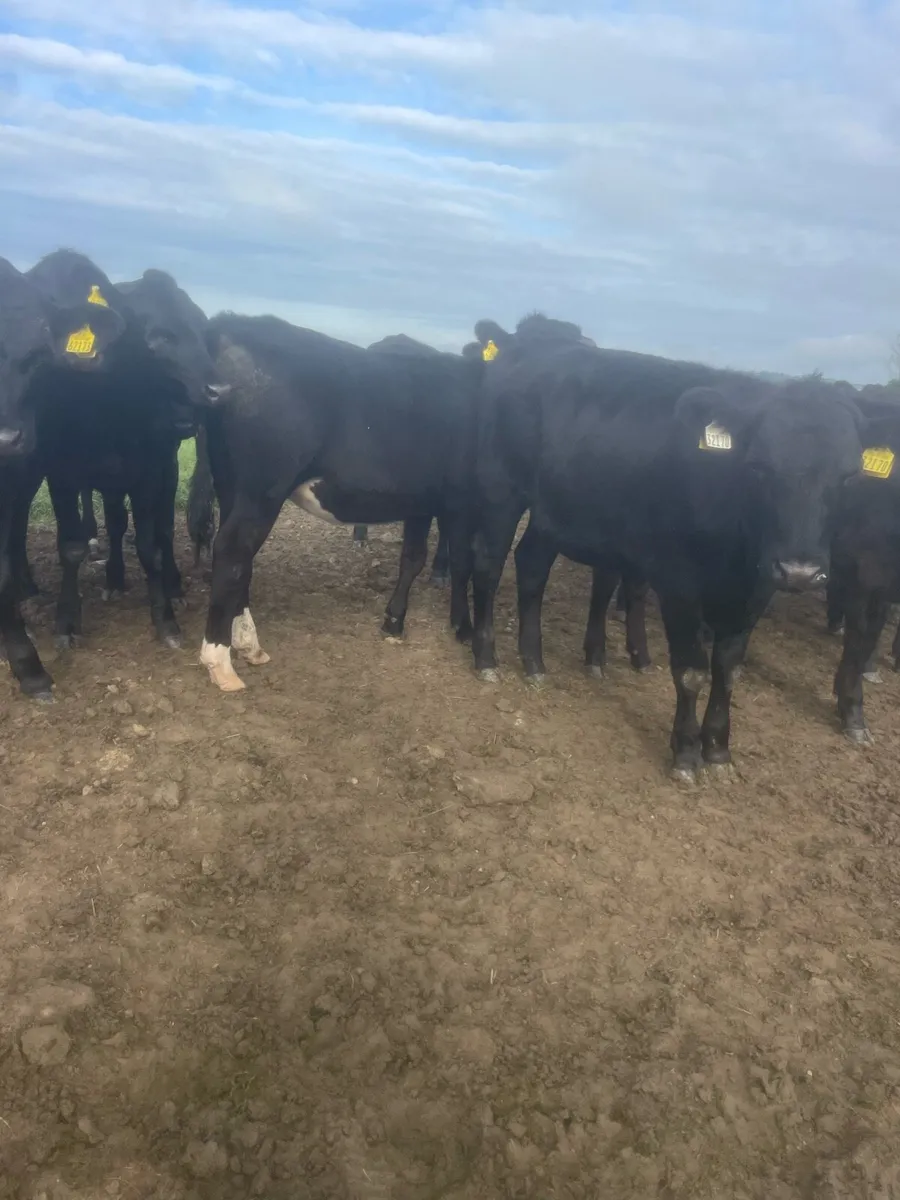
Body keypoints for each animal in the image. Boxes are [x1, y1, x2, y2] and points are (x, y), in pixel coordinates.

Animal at [9, 254, 221, 674]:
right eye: (159, 336)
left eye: (202, 333)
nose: (217, 389)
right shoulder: (62, 473)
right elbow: (72, 547)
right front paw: (66, 623)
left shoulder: (149, 470)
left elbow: (152, 544)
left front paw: (166, 619)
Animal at [194, 313, 483, 691]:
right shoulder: (463, 500)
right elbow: (463, 562)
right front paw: (463, 627)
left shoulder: (423, 501)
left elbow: (413, 558)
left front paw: (395, 620)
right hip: (261, 489)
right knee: (232, 549)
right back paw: (220, 661)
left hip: (232, 486)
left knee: (238, 556)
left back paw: (248, 644)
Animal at [464, 314, 867, 779]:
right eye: (759, 468)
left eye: (849, 476)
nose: (800, 572)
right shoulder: (679, 583)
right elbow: (691, 671)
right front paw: (687, 752)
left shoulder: (757, 589)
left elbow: (728, 669)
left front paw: (718, 749)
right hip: (501, 488)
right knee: (489, 563)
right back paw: (486, 659)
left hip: (552, 508)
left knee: (531, 565)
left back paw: (533, 661)